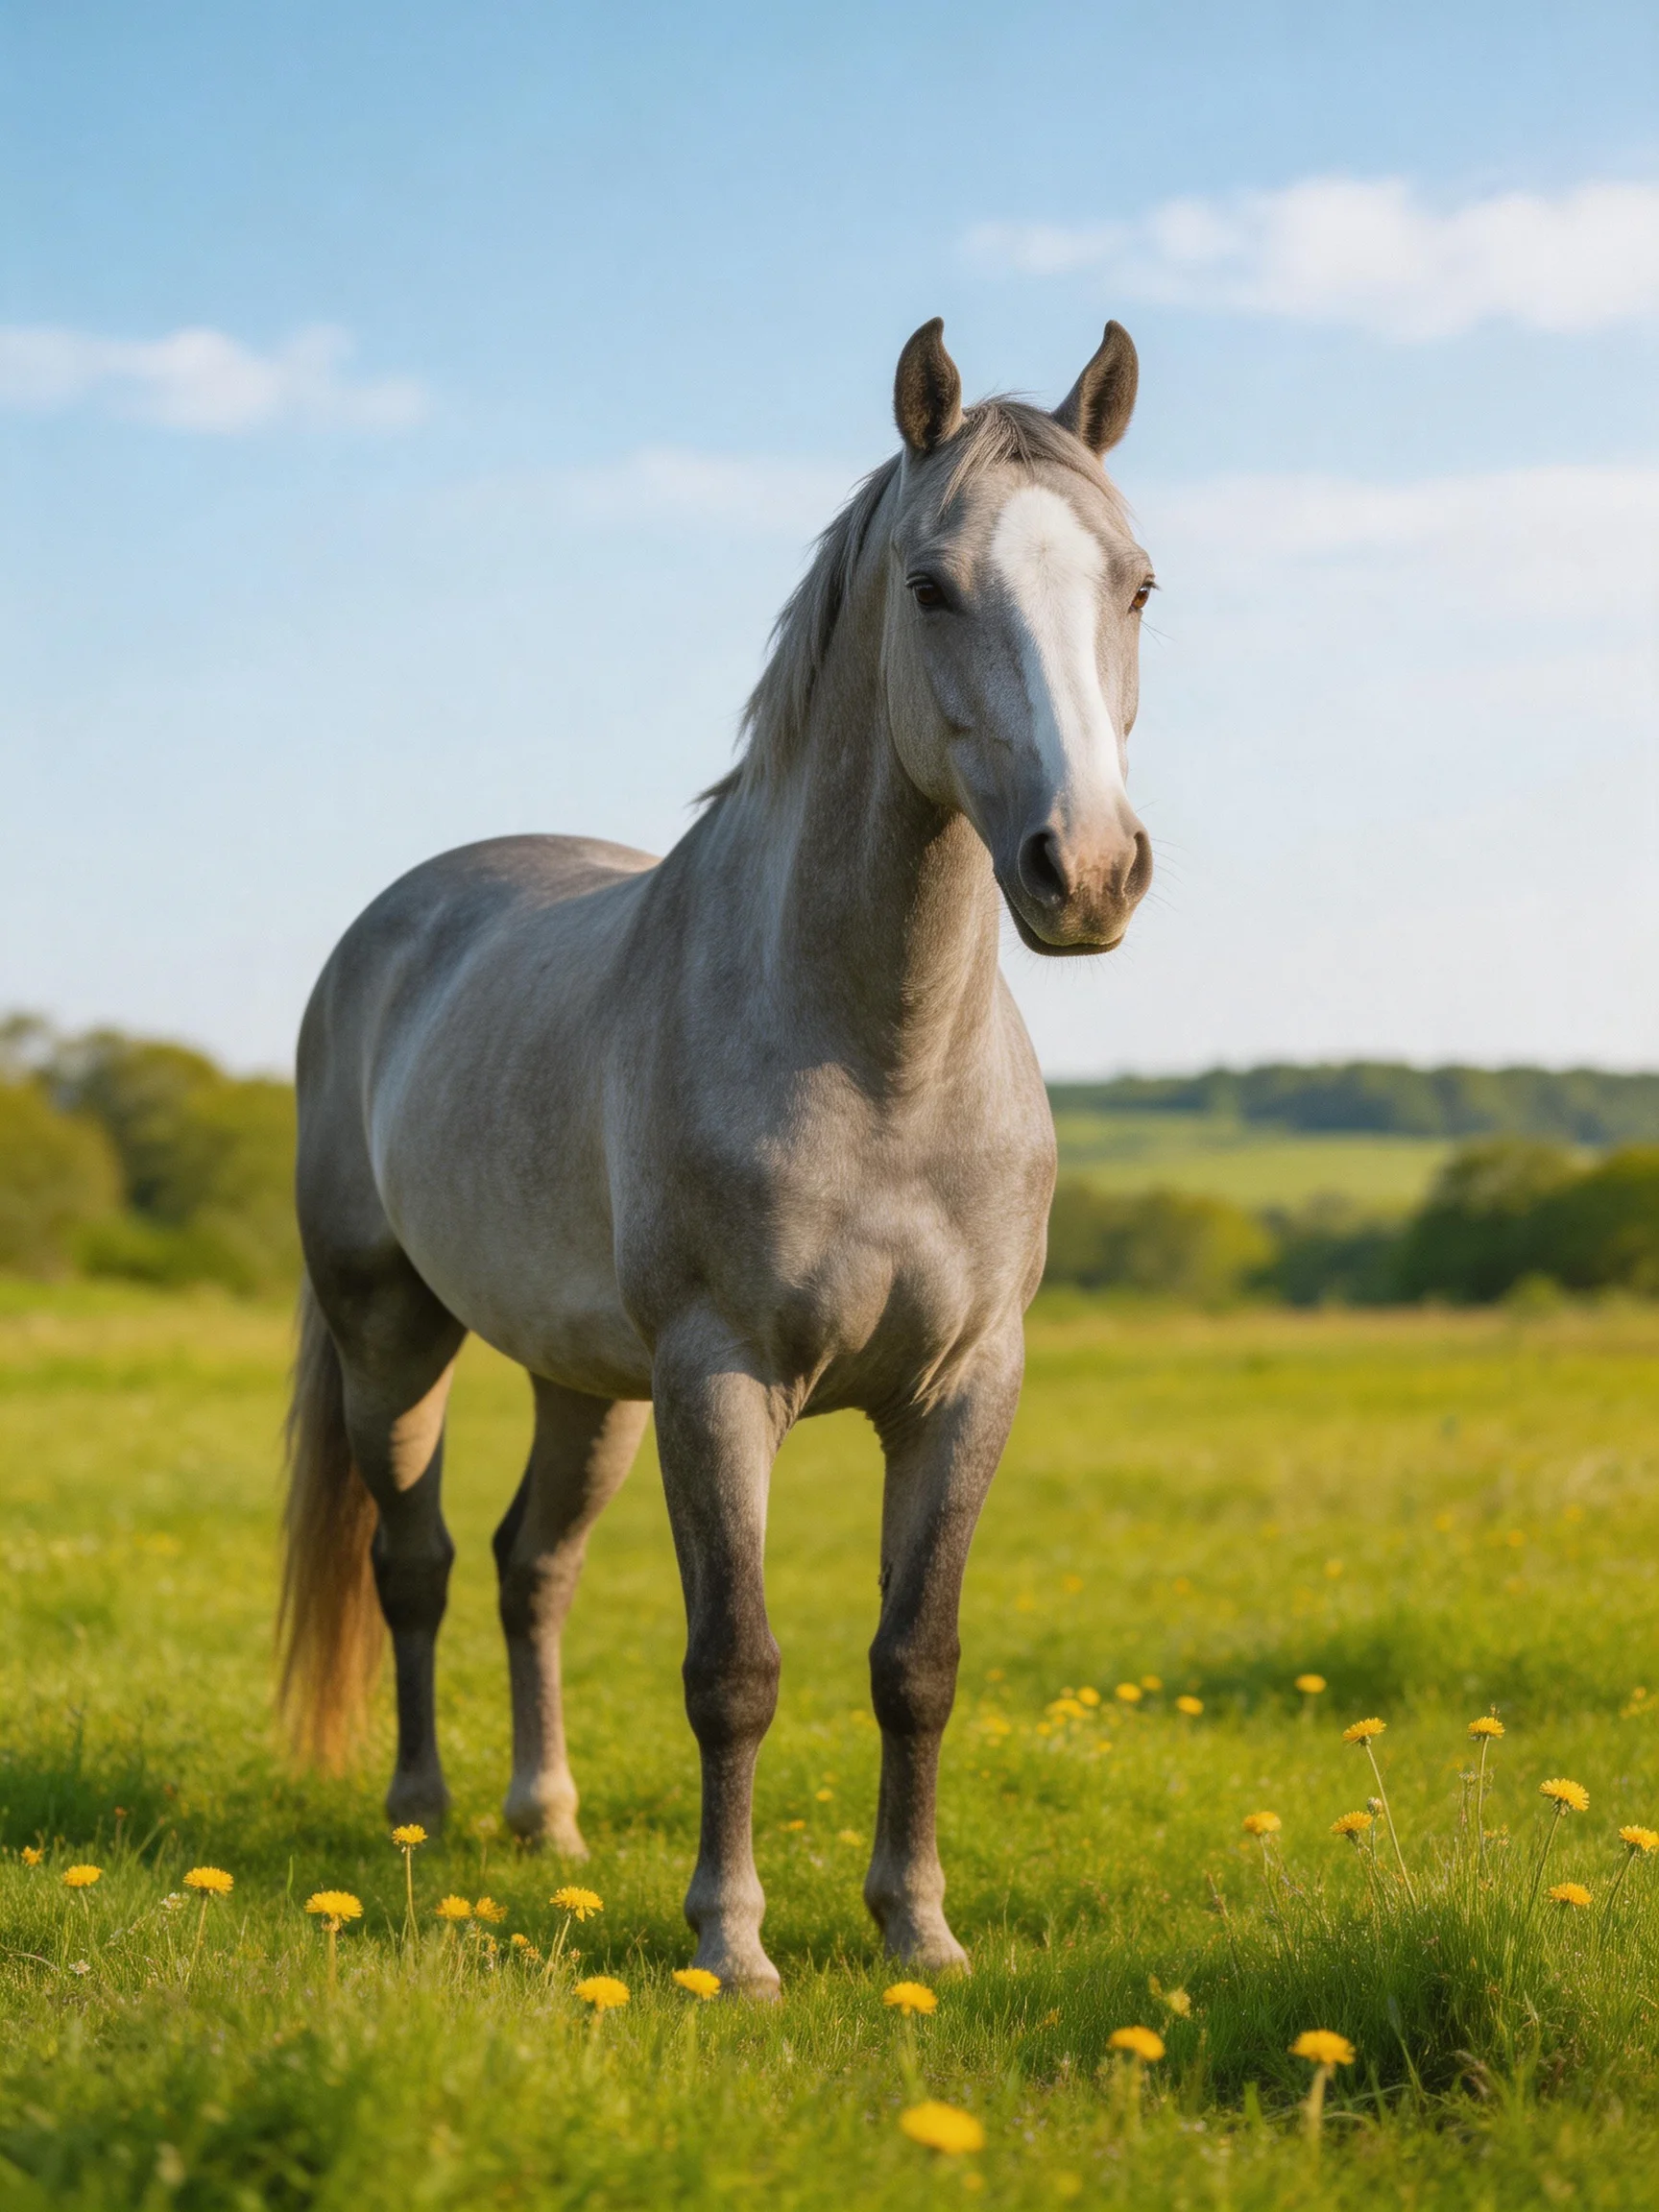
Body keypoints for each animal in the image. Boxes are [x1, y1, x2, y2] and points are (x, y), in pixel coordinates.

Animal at [279, 315, 1155, 1995]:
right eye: (930, 586)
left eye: (1137, 583)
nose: (1085, 871)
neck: (878, 1063)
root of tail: (398, 922)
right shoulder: (720, 1379)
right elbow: (733, 1666)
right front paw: (733, 1945)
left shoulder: (966, 1388)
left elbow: (918, 1661)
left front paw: (918, 1929)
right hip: (394, 1337)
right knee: (417, 1560)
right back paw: (422, 1814)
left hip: (587, 1386)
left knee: (530, 1567)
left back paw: (545, 1819)